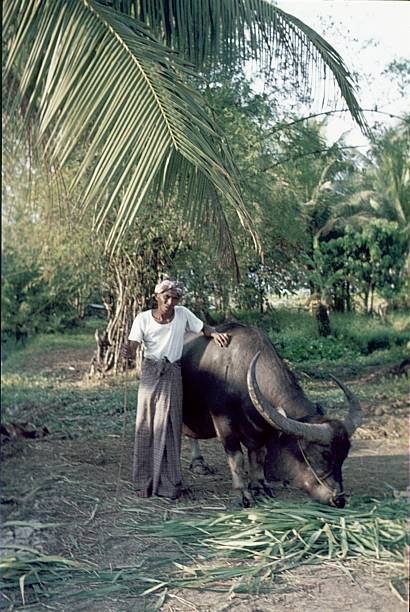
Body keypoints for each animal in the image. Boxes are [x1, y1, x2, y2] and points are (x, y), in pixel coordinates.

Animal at [182, 326, 362, 506]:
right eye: (323, 455)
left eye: (344, 456)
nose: (338, 499)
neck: (238, 369)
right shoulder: (223, 421)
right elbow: (236, 459)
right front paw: (242, 493)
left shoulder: (261, 428)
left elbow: (258, 457)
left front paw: (260, 487)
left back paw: (198, 463)